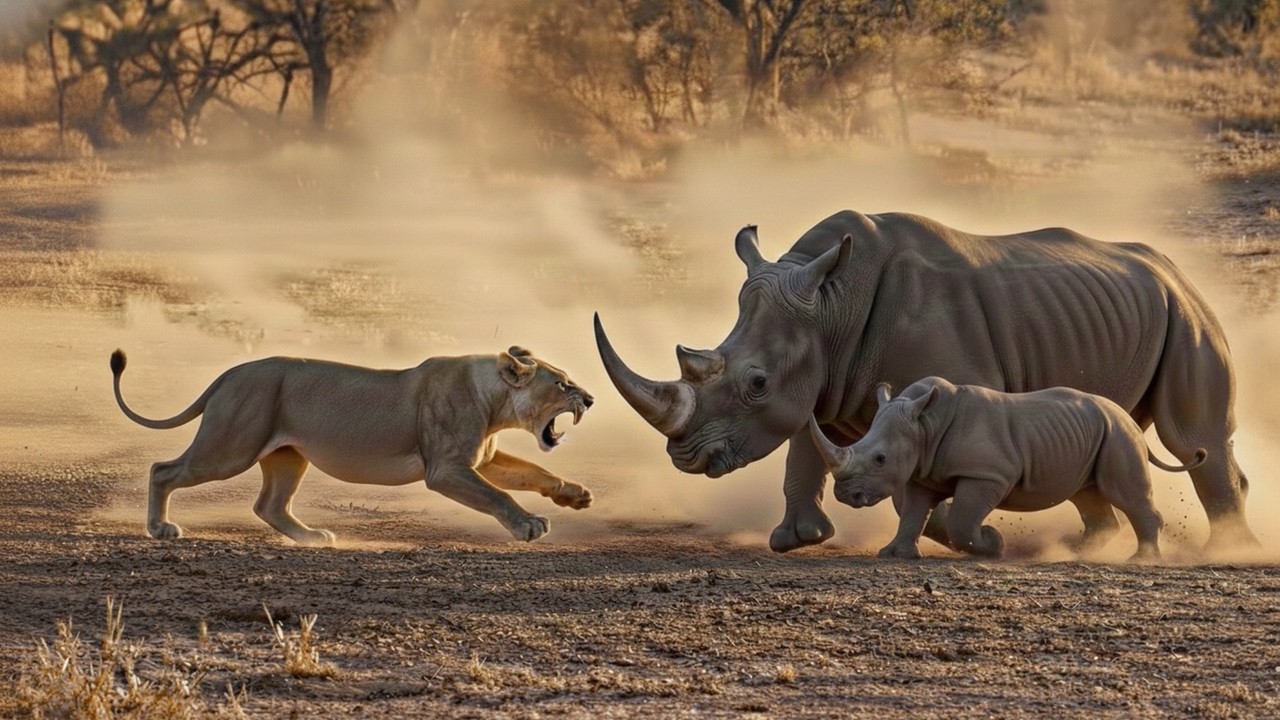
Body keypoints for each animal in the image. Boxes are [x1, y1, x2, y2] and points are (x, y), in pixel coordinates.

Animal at [110, 346, 595, 546]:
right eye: (562, 384)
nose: (590, 399)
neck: (495, 400)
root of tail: (230, 372)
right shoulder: (446, 469)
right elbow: (499, 495)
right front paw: (529, 526)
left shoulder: (484, 459)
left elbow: (536, 473)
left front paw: (576, 496)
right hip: (228, 448)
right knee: (162, 470)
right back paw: (160, 528)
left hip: (288, 457)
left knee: (269, 505)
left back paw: (313, 538)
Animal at [807, 378, 1207, 560]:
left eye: (880, 459)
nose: (845, 494)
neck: (925, 424)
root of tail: (1129, 420)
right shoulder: (922, 473)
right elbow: (913, 513)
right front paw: (895, 554)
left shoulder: (988, 474)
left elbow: (961, 520)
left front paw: (992, 543)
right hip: (1099, 433)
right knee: (1088, 496)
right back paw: (1077, 553)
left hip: (1118, 436)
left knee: (1121, 493)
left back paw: (1140, 559)